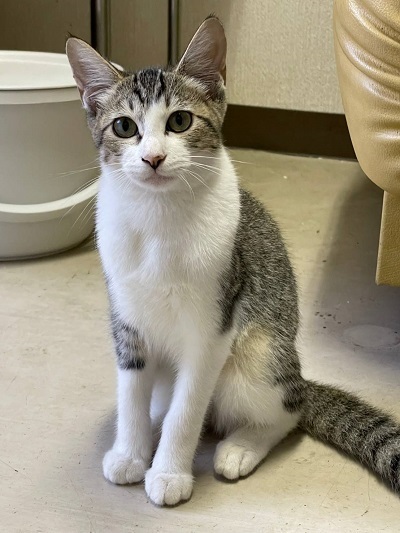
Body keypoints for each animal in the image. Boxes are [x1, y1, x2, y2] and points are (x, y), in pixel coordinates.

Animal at [66, 16, 400, 506]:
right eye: (124, 127)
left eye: (180, 120)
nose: (153, 158)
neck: (158, 218)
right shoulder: (126, 316)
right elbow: (131, 391)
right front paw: (130, 452)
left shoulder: (213, 326)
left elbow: (188, 408)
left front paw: (169, 473)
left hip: (259, 352)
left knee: (287, 409)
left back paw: (241, 446)